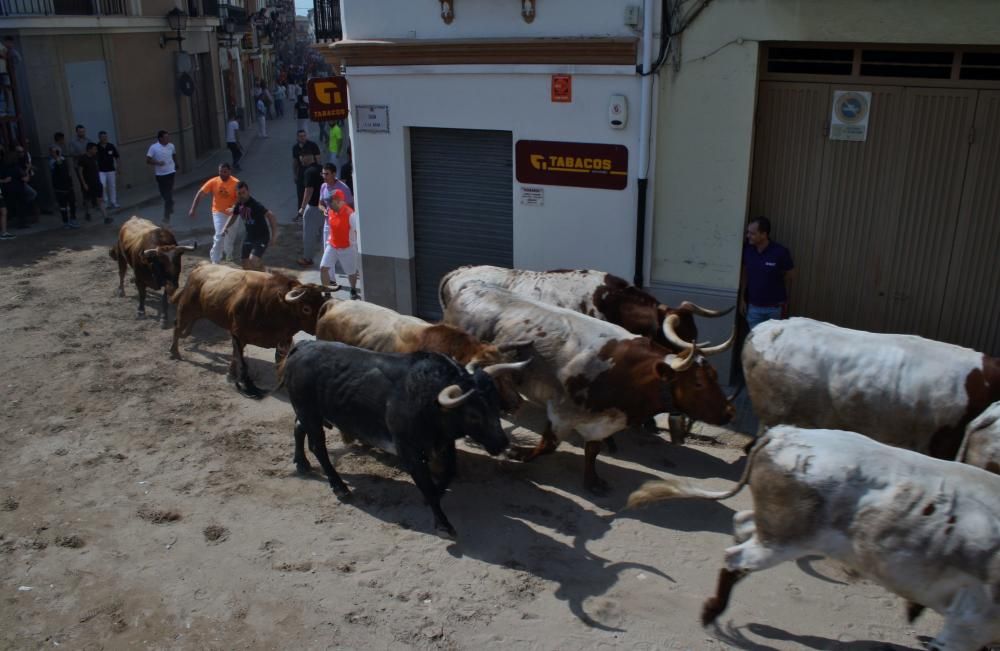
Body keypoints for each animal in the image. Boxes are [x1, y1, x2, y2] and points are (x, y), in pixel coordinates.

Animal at [171, 264, 340, 398]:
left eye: (322, 301)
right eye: (306, 308)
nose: (322, 322)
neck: (273, 305)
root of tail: (200, 267)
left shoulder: (283, 340)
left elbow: (281, 362)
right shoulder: (238, 335)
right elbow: (236, 355)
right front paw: (232, 375)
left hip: (198, 312)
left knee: (186, 327)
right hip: (186, 308)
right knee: (177, 328)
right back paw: (175, 352)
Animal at [282, 338, 532, 536]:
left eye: (495, 404)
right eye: (473, 414)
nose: (502, 443)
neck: (429, 400)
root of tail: (303, 346)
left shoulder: (443, 443)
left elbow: (449, 472)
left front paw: (437, 494)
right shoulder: (409, 451)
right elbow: (427, 485)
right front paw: (443, 524)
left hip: (307, 413)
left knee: (298, 428)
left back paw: (302, 464)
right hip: (309, 412)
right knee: (318, 446)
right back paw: (340, 487)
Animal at [438, 280, 736, 494]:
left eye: (715, 376)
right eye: (698, 382)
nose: (729, 412)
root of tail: (470, 287)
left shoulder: (601, 422)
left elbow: (592, 451)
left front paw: (592, 480)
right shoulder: (561, 412)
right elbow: (546, 446)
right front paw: (518, 453)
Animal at [628, 428, 1000, 651]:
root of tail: (781, 433)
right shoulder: (967, 623)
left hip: (775, 529)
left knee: (742, 524)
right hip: (783, 541)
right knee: (736, 557)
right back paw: (711, 613)